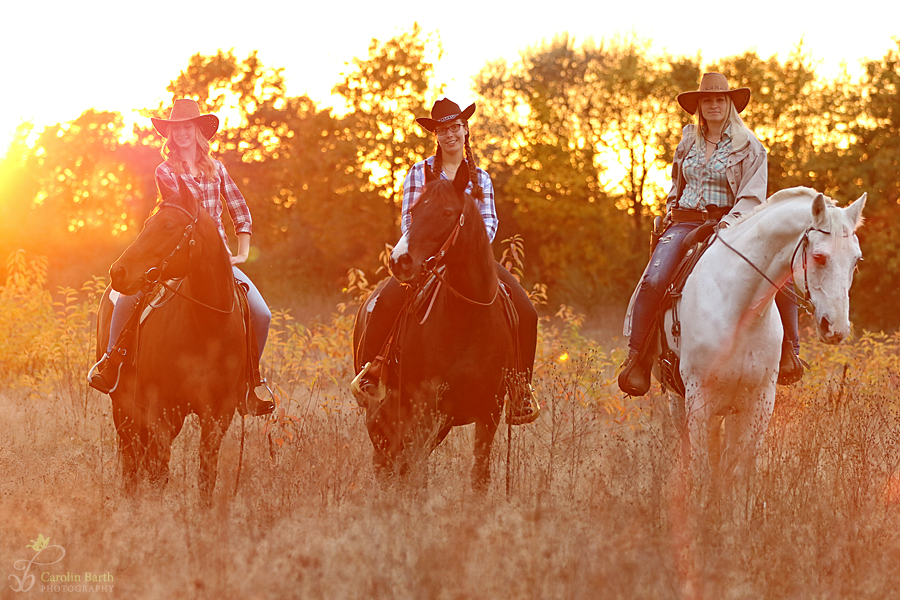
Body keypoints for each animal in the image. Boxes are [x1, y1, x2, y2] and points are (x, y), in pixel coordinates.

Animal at [354, 168, 520, 488]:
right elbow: (416, 471)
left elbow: (479, 475)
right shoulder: (426, 407)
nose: (400, 261)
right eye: (413, 211)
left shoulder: (489, 410)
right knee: (386, 459)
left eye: (447, 212)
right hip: (384, 410)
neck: (467, 321)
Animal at [668, 186, 864, 488]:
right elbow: (703, 469)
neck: (739, 310)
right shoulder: (699, 400)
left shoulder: (758, 403)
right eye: (819, 257)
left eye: (856, 260)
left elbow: (737, 471)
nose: (837, 328)